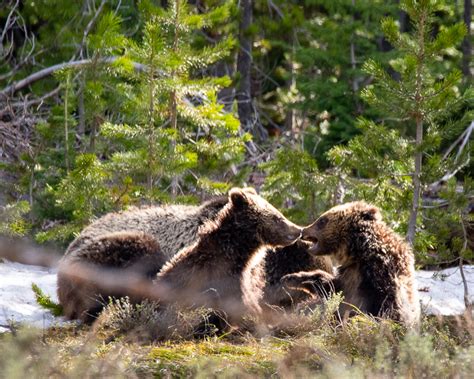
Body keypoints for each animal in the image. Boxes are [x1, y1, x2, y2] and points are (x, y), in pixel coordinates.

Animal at [282, 202, 418, 330]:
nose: (303, 230)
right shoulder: (349, 274)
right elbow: (331, 287)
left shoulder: (378, 274)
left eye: (322, 220)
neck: (358, 251)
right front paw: (292, 278)